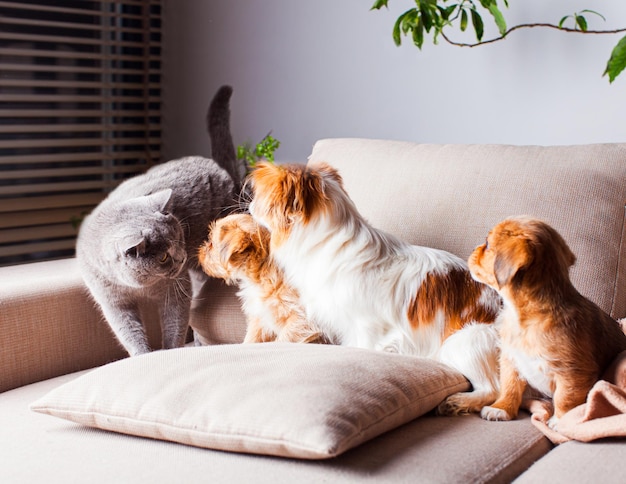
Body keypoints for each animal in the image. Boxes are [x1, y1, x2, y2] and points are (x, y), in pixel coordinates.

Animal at [77, 84, 243, 356]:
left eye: (180, 238)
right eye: (163, 256)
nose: (182, 257)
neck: (139, 287)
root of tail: (215, 165)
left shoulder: (175, 289)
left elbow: (175, 324)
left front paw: (170, 351)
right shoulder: (112, 301)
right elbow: (129, 332)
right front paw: (143, 356)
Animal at [197, 215, 330, 344]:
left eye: (211, 244)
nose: (200, 250)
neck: (263, 273)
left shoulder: (301, 322)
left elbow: (281, 341)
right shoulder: (261, 320)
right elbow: (252, 338)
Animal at [249, 161, 502, 414]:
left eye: (260, 199)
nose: (249, 205)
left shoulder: (366, 330)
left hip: (463, 343)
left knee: (493, 390)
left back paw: (459, 401)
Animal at [468, 216, 624, 428]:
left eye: (487, 244)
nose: (473, 249)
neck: (524, 319)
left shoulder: (572, 373)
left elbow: (564, 398)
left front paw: (561, 421)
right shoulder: (510, 360)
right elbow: (509, 387)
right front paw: (501, 408)